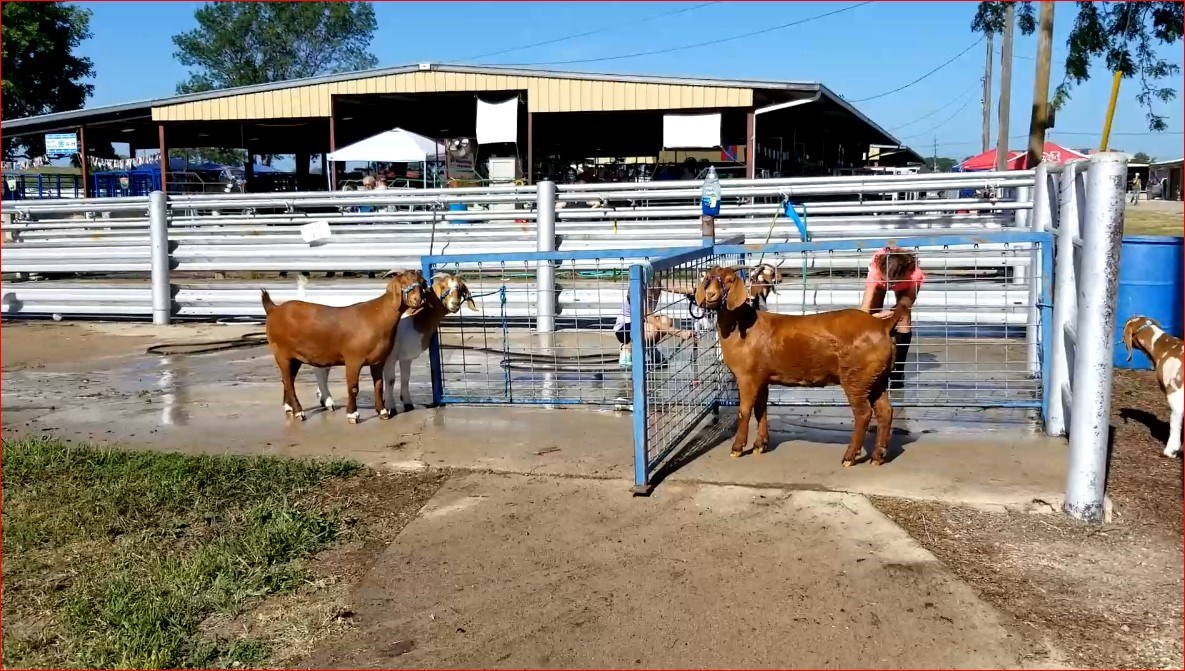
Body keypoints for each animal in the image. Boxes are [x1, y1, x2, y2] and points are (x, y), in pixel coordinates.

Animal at [261, 269, 428, 424]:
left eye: (422, 282)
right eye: (404, 282)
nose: (417, 299)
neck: (377, 316)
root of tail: (273, 309)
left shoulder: (378, 360)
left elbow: (379, 385)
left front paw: (382, 412)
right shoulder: (353, 360)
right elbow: (353, 387)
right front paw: (353, 415)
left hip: (294, 357)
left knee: (287, 379)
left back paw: (289, 408)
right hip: (281, 353)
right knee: (288, 380)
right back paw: (298, 412)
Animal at [308, 273, 478, 414]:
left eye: (460, 288)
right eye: (443, 286)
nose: (454, 304)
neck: (414, 319)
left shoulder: (406, 357)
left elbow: (405, 379)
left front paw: (408, 404)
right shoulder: (389, 357)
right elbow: (390, 380)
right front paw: (390, 407)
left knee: (323, 370)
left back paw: (323, 398)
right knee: (319, 371)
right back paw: (328, 402)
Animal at [692, 265, 905, 464]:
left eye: (729, 280)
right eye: (708, 279)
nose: (710, 295)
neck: (741, 326)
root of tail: (883, 325)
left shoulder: (747, 376)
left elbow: (744, 411)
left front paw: (737, 448)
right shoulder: (761, 377)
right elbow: (761, 409)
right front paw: (760, 445)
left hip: (855, 376)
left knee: (863, 413)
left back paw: (849, 457)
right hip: (876, 377)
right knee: (885, 411)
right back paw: (878, 456)